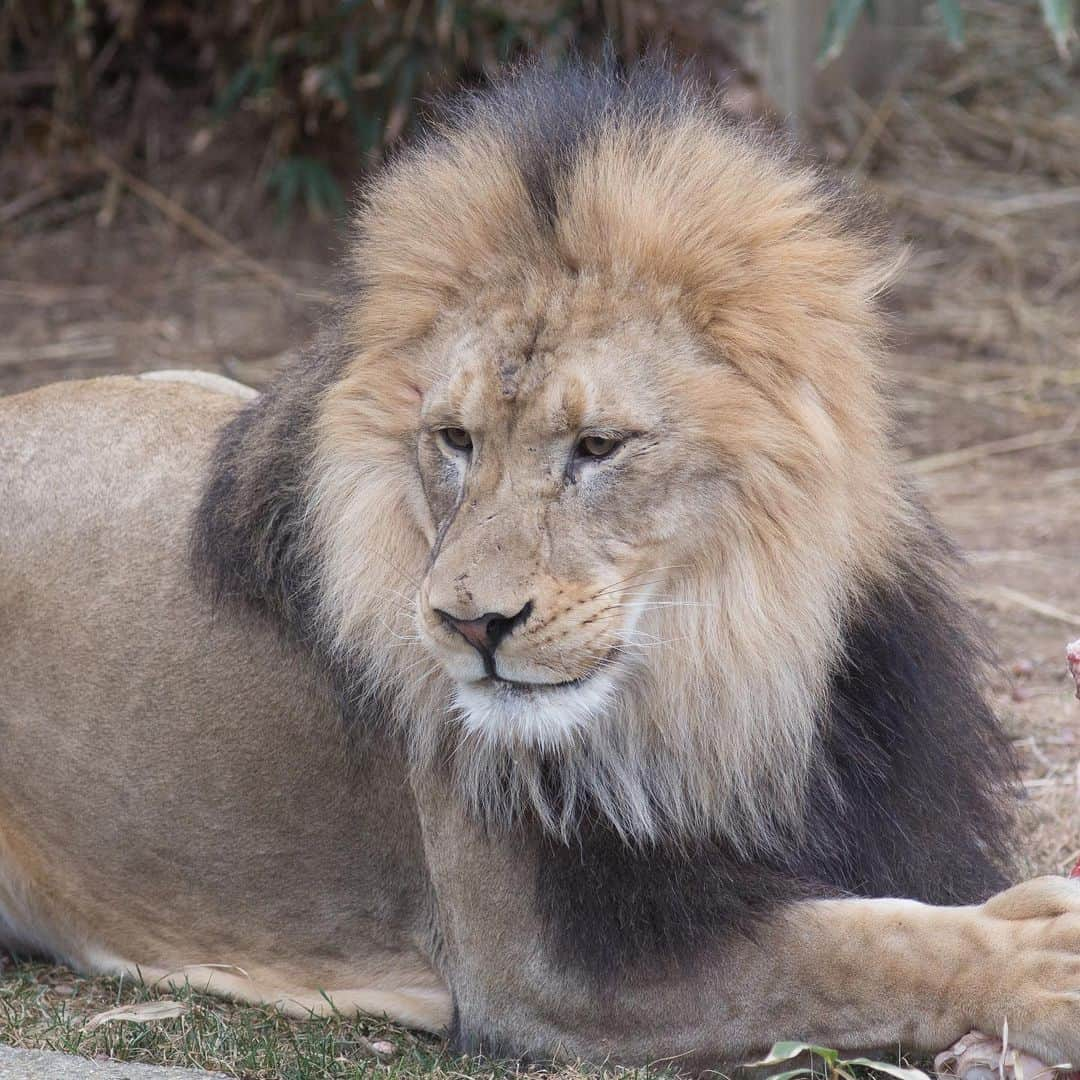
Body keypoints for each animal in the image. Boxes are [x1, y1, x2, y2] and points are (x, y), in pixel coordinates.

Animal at [2, 61, 1080, 1071]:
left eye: (596, 446)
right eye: (455, 439)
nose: (470, 624)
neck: (728, 669)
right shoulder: (547, 972)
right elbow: (854, 949)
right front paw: (1044, 973)